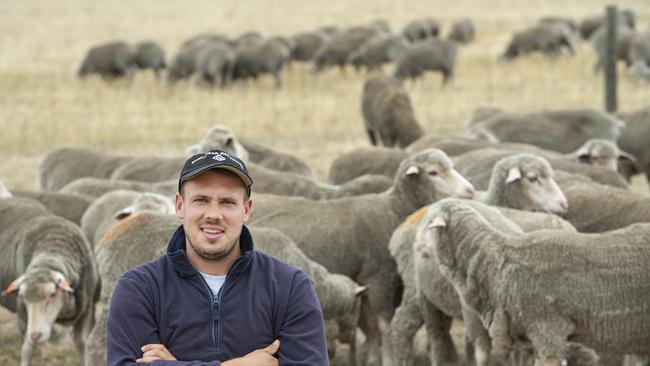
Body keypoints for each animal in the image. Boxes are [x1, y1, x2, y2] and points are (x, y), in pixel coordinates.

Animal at [0, 197, 98, 366]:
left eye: (52, 294)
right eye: (23, 297)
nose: (36, 335)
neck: (52, 251)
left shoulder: (86, 309)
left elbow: (81, 343)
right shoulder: (24, 315)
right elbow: (28, 348)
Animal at [246, 148, 474, 366]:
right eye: (433, 172)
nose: (470, 190)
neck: (392, 210)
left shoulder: (367, 279)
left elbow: (371, 323)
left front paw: (373, 358)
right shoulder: (378, 275)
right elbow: (383, 324)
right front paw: (387, 360)